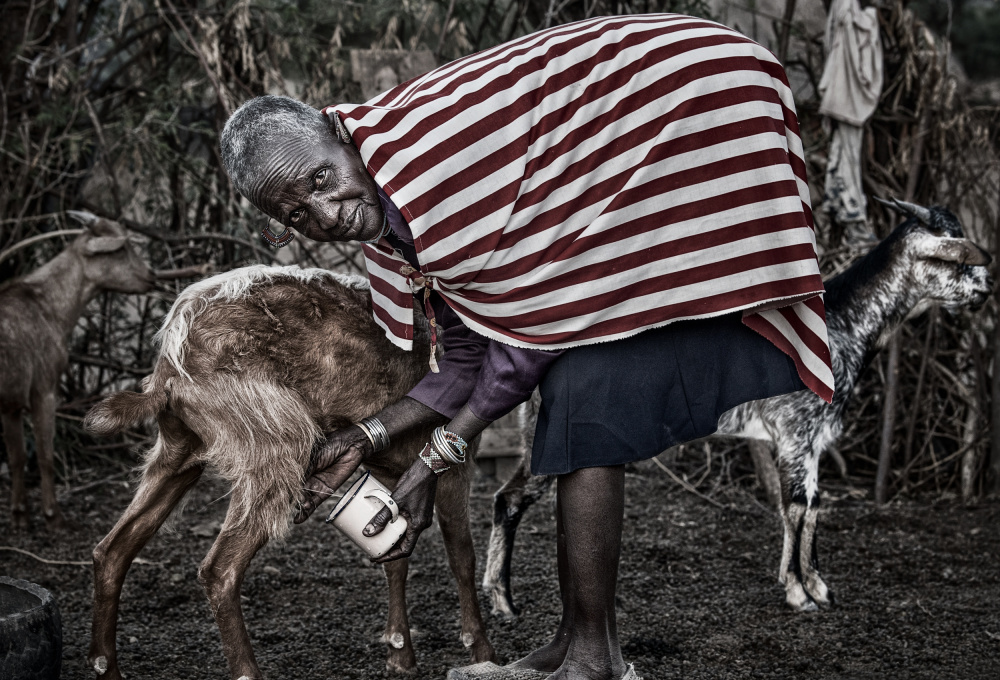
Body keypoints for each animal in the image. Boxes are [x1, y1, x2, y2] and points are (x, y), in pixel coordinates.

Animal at [0, 210, 154, 528]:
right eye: (120, 248)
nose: (151, 276)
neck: (48, 305)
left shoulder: (10, 401)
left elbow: (17, 456)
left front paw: (20, 514)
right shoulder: (44, 386)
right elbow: (44, 453)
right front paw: (53, 514)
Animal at [83, 266, 496, 680]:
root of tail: (171, 361)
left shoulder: (391, 473)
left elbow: (395, 560)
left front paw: (400, 656)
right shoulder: (455, 467)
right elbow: (462, 554)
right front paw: (480, 651)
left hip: (179, 449)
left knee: (112, 550)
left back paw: (107, 666)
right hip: (272, 440)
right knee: (220, 570)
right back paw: (248, 670)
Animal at [482, 198, 992, 616]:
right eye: (949, 255)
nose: (986, 289)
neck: (841, 325)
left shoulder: (813, 440)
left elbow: (813, 506)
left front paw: (819, 587)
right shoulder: (795, 430)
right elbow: (797, 508)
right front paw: (799, 594)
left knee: (508, 496)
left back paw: (501, 597)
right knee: (510, 497)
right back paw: (503, 601)